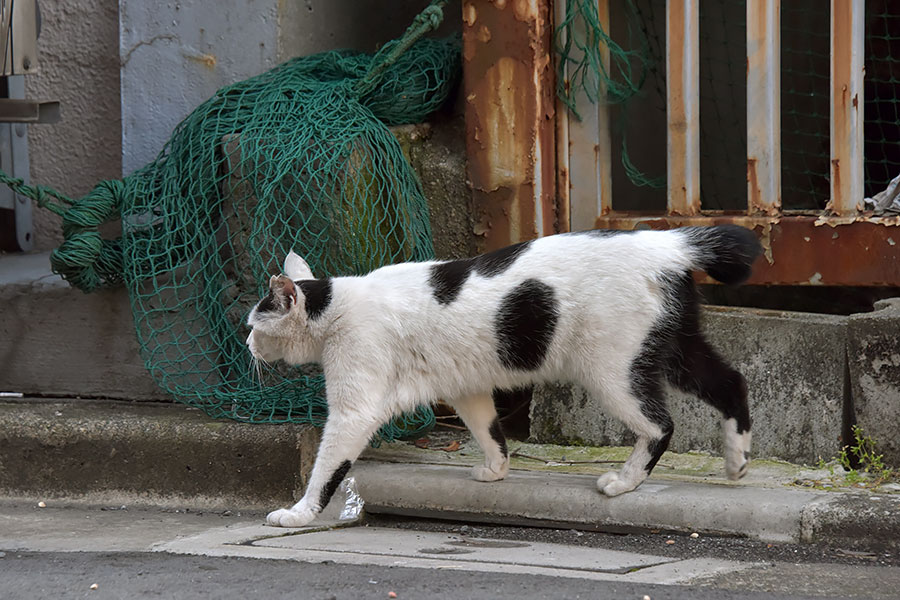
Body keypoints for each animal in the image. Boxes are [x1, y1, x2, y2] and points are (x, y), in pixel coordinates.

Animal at [244, 227, 760, 528]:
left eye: (253, 323)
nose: (246, 343)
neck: (336, 307)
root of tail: (665, 242)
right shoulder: (466, 387)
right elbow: (488, 429)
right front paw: (496, 470)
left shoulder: (355, 408)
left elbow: (327, 468)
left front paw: (298, 514)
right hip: (677, 349)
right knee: (732, 382)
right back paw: (736, 462)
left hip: (614, 370)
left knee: (659, 425)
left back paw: (625, 482)